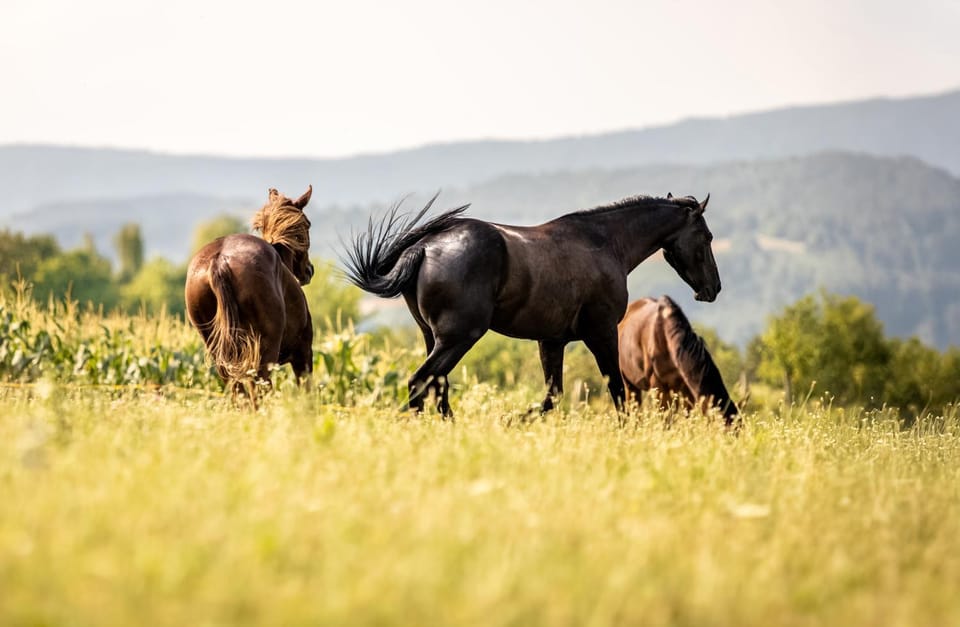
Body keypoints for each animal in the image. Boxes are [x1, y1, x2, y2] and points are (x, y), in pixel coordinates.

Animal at [185, 186, 315, 398]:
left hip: (220, 356)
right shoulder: (303, 354)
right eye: (308, 224)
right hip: (262, 356)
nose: (309, 270)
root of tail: (219, 261)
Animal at [342, 192, 721, 417]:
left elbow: (552, 397)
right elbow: (616, 390)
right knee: (421, 383)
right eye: (707, 236)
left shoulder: (551, 341)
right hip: (458, 338)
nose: (713, 289)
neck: (605, 244)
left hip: (432, 337)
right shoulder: (602, 333)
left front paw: (514, 420)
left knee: (436, 387)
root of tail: (423, 247)